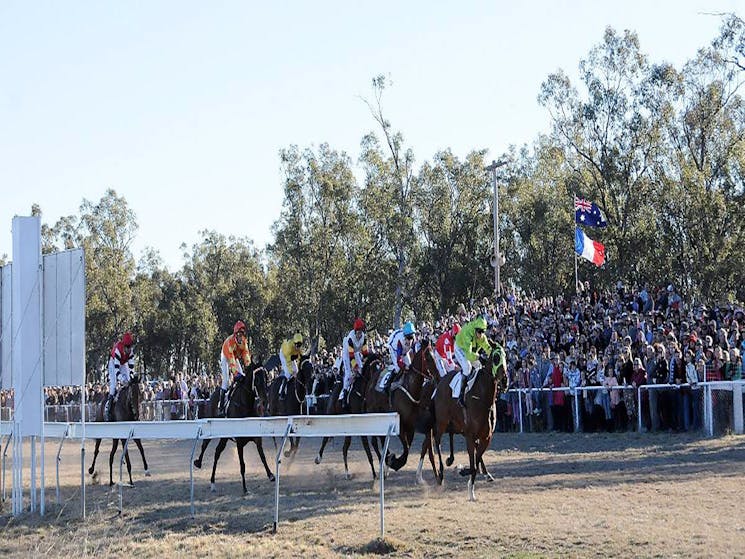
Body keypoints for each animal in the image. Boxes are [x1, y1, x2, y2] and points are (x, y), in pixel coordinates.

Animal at [312, 354, 384, 482]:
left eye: (381, 366)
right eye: (374, 368)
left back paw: (347, 472)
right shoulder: (361, 425)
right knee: (326, 437)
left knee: (344, 448)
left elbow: (374, 443)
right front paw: (375, 473)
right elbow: (368, 448)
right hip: (331, 415)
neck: (362, 392)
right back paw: (318, 458)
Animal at [364, 342, 438, 472]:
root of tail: (373, 375)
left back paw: (387, 457)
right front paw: (395, 462)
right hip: (373, 413)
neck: (410, 388)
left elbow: (409, 448)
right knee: (374, 442)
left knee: (381, 439)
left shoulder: (411, 425)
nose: (437, 376)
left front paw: (394, 460)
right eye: (428, 357)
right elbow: (406, 448)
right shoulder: (400, 426)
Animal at [430, 344, 506, 500]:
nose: (505, 380)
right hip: (441, 423)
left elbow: (475, 462)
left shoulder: (486, 437)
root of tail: (440, 381)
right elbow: (473, 465)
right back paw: (441, 473)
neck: (483, 398)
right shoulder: (470, 436)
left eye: (505, 356)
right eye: (496, 357)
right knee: (437, 440)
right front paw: (468, 485)